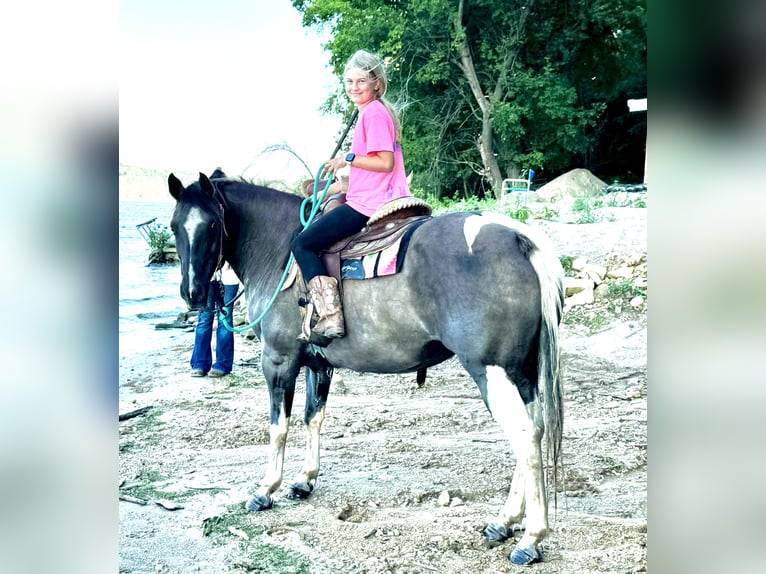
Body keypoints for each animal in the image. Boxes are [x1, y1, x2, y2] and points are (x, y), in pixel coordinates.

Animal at [168, 171, 568, 568]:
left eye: (211, 225)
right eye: (174, 226)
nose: (192, 293)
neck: (279, 249)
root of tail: (519, 237)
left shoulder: (278, 359)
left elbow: (278, 428)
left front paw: (266, 489)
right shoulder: (318, 364)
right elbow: (313, 418)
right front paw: (304, 480)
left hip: (491, 370)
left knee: (524, 436)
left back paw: (531, 538)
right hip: (521, 372)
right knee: (534, 430)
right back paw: (505, 522)